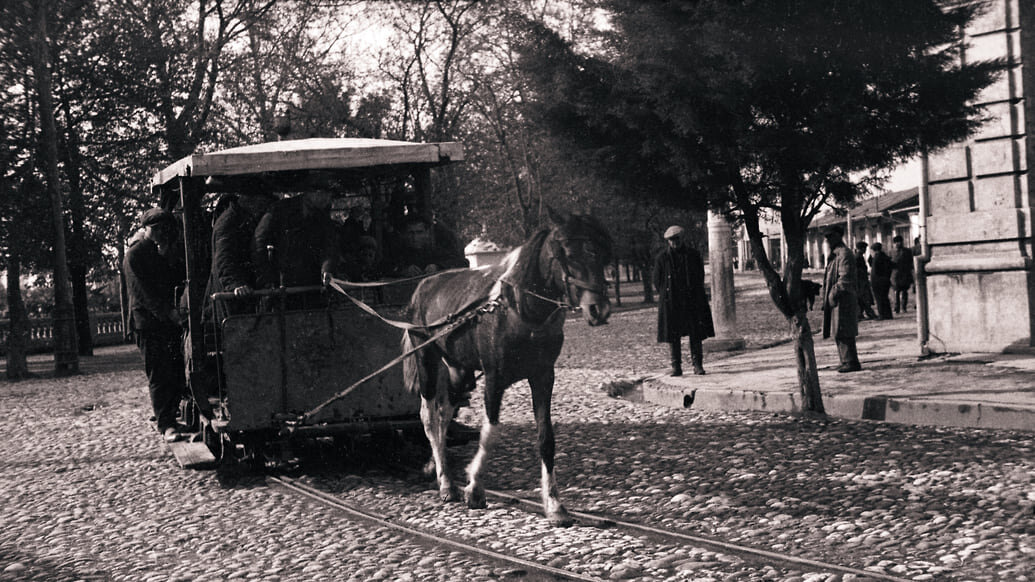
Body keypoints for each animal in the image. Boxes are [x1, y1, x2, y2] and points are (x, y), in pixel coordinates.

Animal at [399, 206, 608, 524]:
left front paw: (554, 505)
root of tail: (424, 285)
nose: (599, 308)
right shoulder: (495, 378)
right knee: (429, 417)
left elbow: (546, 437)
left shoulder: (543, 376)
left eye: (601, 249)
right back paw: (446, 483)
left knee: (445, 414)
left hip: (459, 370)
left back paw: (437, 468)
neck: (517, 311)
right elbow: (490, 433)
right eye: (568, 254)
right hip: (427, 361)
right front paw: (475, 488)